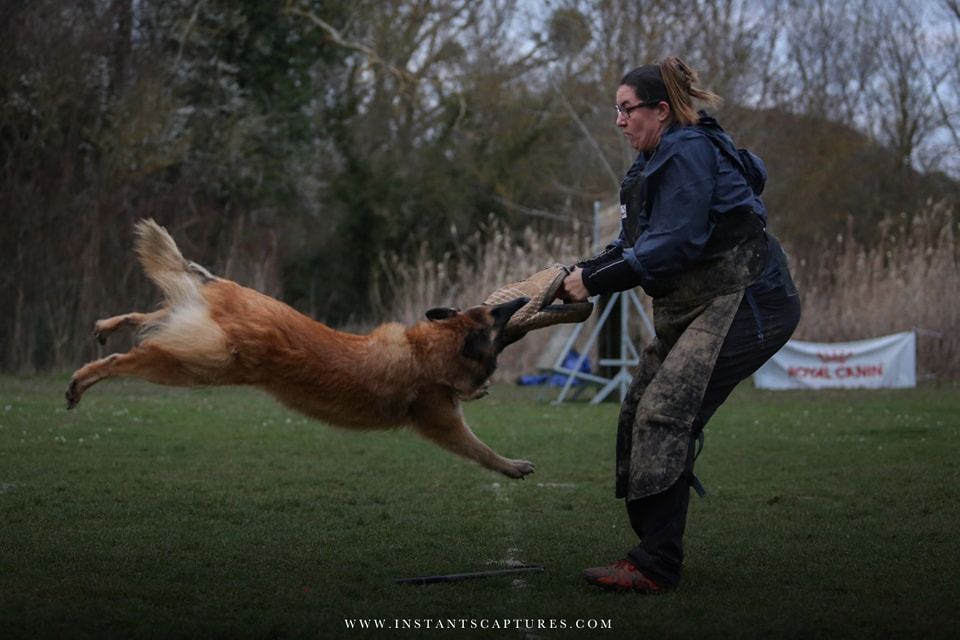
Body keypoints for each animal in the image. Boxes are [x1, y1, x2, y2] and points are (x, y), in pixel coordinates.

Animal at [66, 219, 535, 479]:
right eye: (497, 317)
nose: (523, 300)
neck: (429, 349)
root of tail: (223, 288)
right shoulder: (441, 421)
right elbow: (479, 449)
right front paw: (512, 466)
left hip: (192, 336)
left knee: (148, 317)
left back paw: (107, 327)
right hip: (200, 363)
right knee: (122, 360)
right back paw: (81, 381)